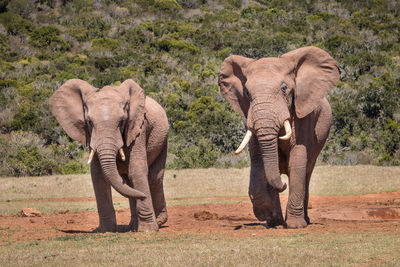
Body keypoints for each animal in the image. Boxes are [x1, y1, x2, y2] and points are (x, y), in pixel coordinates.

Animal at [49, 79, 169, 232]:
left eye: (122, 121)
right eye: (89, 122)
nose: (143, 196)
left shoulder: (139, 129)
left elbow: (136, 171)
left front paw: (148, 231)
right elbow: (98, 175)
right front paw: (105, 230)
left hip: (163, 140)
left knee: (154, 178)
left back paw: (158, 221)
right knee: (128, 182)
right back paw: (133, 226)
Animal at [219, 47, 340, 229]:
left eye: (284, 88)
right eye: (247, 92)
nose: (283, 184)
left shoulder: (304, 116)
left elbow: (297, 160)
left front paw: (295, 226)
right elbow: (259, 161)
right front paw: (267, 215)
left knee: (306, 173)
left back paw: (304, 220)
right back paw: (275, 221)